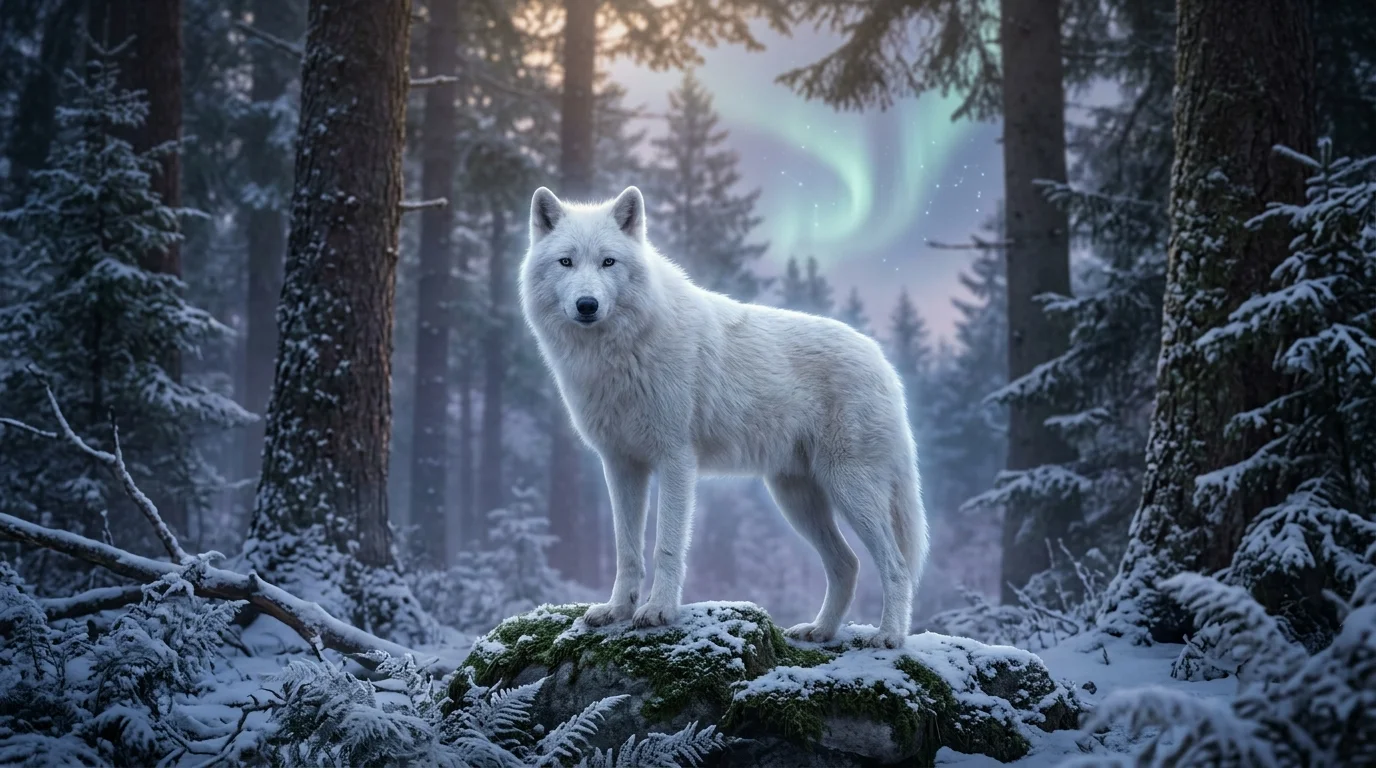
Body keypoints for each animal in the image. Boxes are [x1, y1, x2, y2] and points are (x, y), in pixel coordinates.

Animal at [519, 185, 929, 648]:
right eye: (566, 262)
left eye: (608, 262)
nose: (587, 305)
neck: (617, 354)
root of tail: (883, 362)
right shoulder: (621, 465)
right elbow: (627, 550)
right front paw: (617, 610)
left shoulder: (676, 460)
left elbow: (666, 545)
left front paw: (658, 610)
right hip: (796, 498)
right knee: (848, 564)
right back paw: (820, 630)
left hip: (849, 489)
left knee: (895, 566)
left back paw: (889, 636)